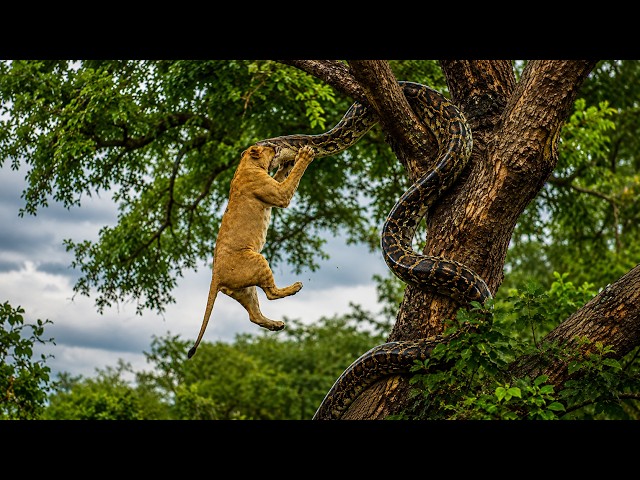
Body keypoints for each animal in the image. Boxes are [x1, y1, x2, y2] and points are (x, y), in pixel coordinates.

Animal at [187, 144, 315, 358]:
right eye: (269, 147)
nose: (277, 145)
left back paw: (276, 325)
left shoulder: (275, 185)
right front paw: (304, 155)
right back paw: (295, 288)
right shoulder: (279, 194)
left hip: (245, 290)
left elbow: (282, 175)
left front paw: (287, 163)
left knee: (254, 315)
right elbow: (293, 177)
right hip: (258, 259)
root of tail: (215, 276)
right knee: (271, 293)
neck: (246, 164)